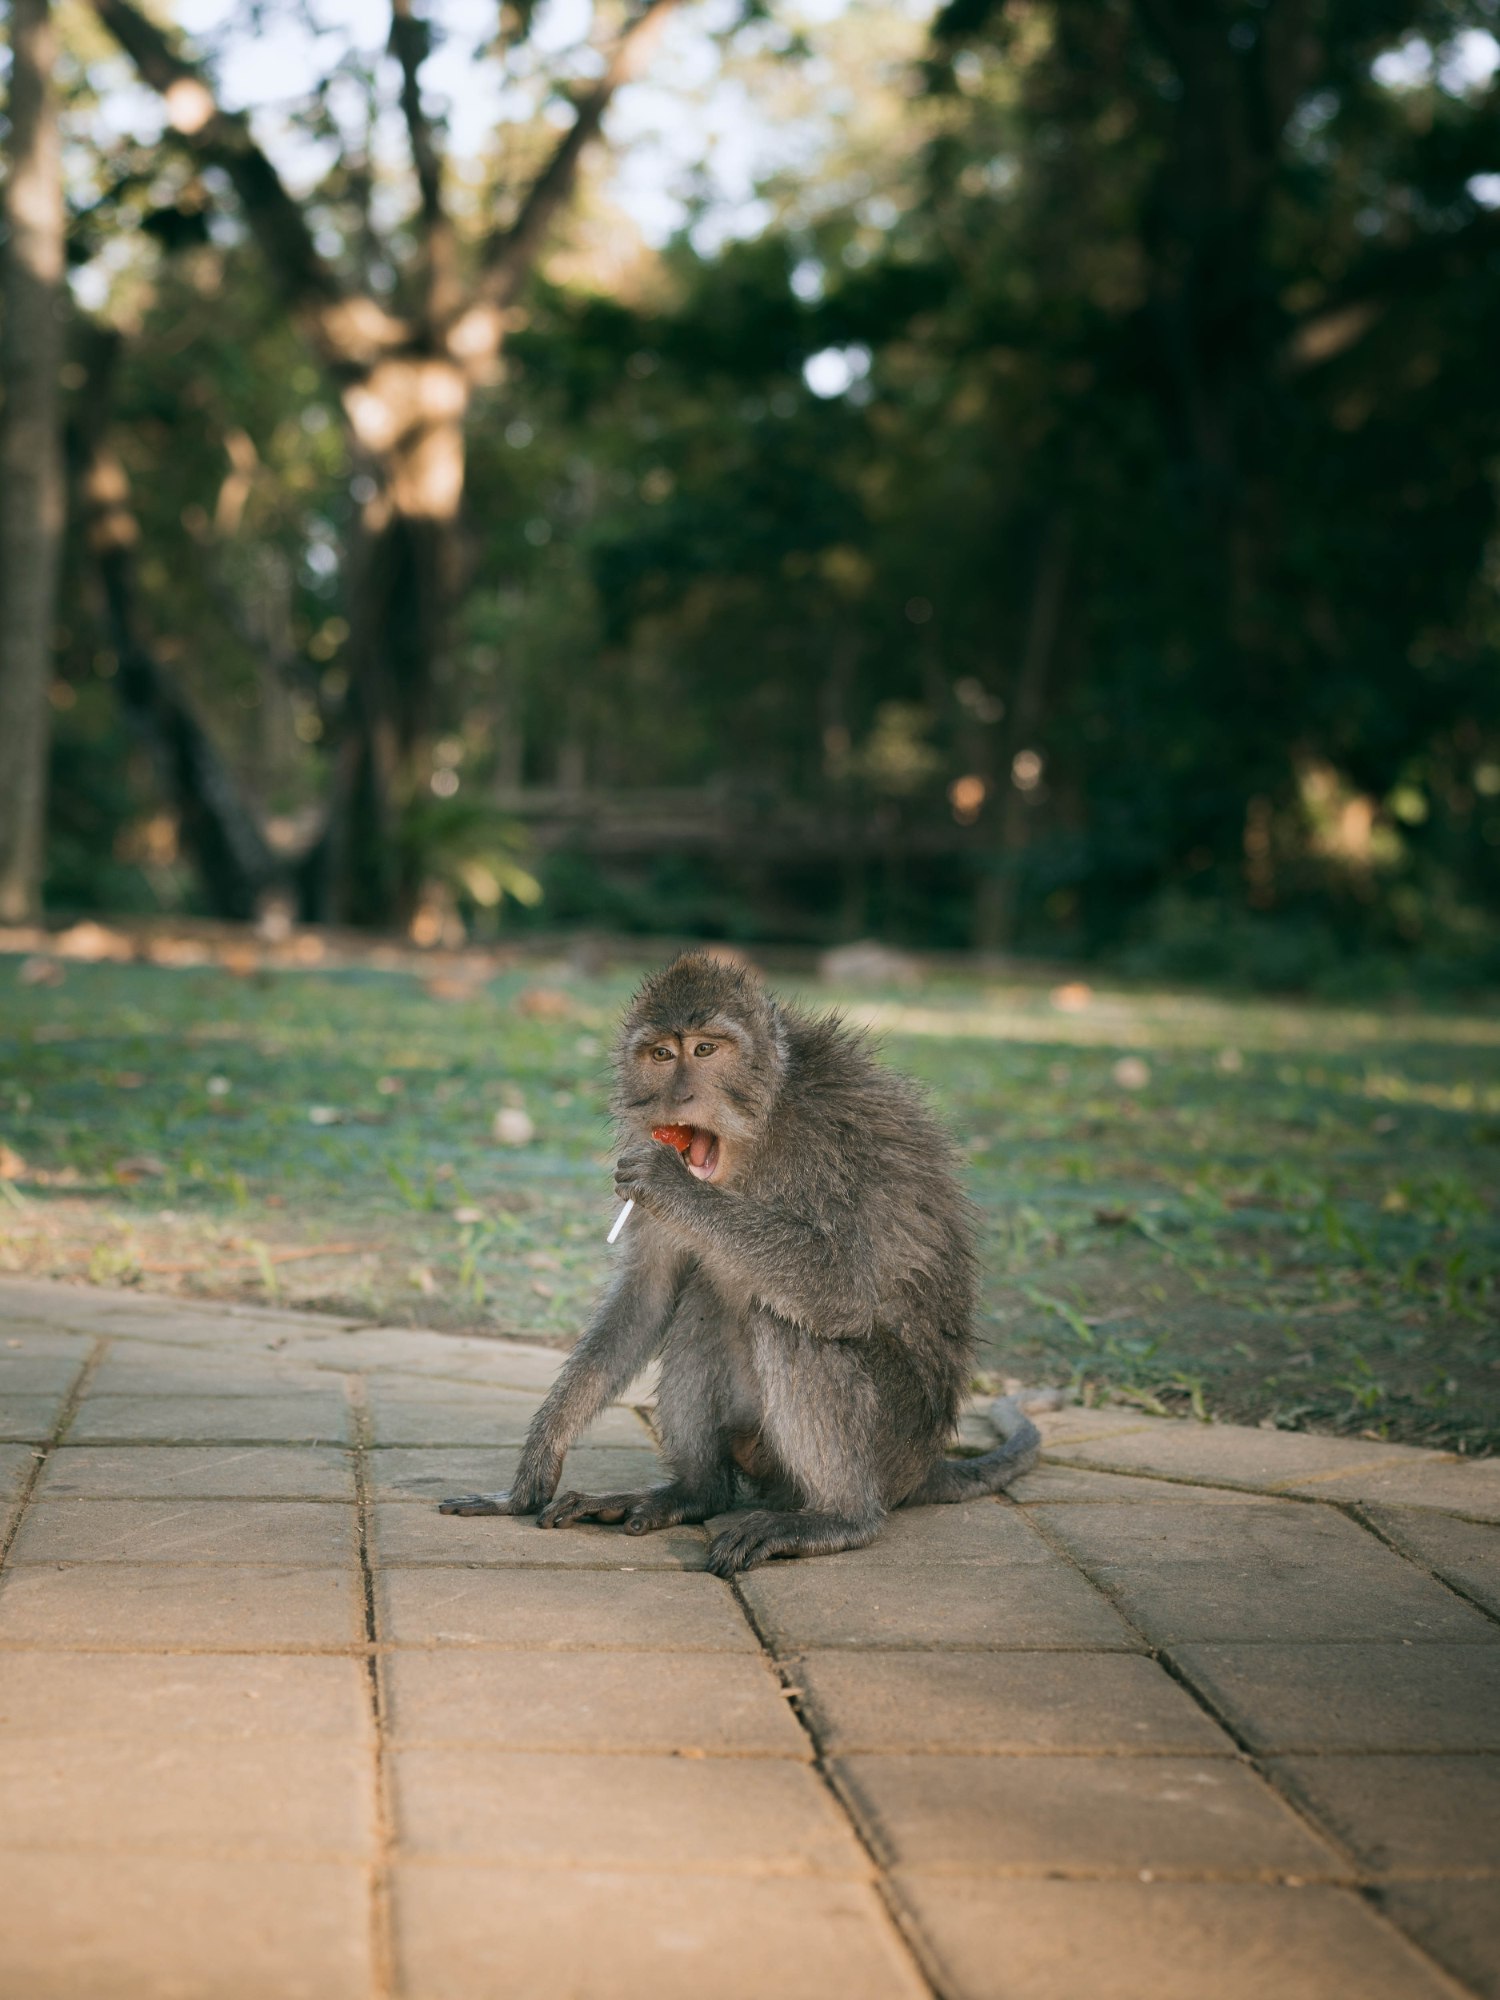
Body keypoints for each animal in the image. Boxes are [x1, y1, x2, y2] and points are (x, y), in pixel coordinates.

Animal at [440, 951, 1039, 1575]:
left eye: (705, 1050)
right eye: (662, 1055)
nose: (677, 1099)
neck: (762, 1127)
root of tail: (924, 1465)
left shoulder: (834, 1142)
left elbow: (844, 1288)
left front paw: (672, 1185)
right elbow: (650, 1292)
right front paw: (537, 1463)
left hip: (892, 1442)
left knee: (785, 1318)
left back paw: (840, 1518)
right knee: (707, 1300)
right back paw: (695, 1493)